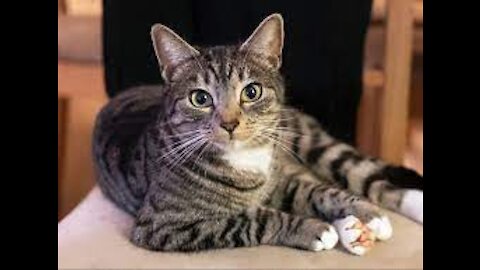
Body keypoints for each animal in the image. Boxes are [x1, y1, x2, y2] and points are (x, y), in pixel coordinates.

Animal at [94, 14, 424, 255]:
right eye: (200, 98)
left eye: (251, 92)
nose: (229, 123)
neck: (246, 158)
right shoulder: (163, 226)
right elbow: (254, 218)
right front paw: (315, 229)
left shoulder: (280, 180)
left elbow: (318, 191)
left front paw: (366, 212)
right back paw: (351, 230)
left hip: (306, 140)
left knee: (360, 174)